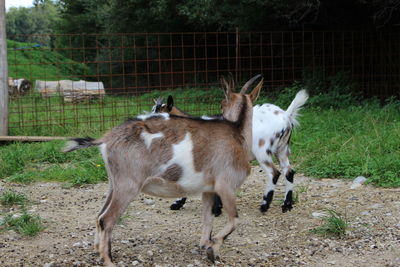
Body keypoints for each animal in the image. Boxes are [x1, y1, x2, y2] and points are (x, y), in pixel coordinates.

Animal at [63, 75, 262, 266]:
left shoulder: (209, 190)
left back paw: (98, 252)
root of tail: (107, 138)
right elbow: (234, 219)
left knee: (99, 216)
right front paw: (213, 250)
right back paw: (108, 261)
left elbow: (208, 218)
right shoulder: (225, 185)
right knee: (107, 219)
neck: (238, 134)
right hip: (128, 185)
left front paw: (207, 247)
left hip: (114, 183)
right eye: (221, 103)